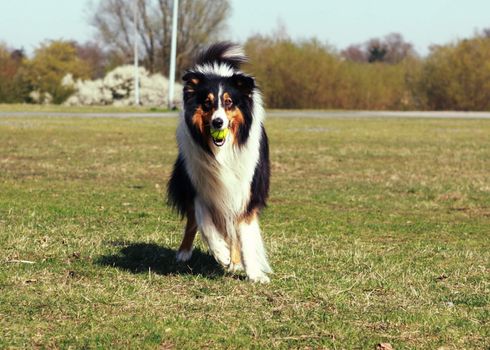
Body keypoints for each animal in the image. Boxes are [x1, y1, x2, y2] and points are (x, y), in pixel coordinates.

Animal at [168, 41, 272, 282]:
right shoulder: (199, 186)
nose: (218, 122)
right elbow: (205, 224)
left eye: (229, 102)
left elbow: (244, 235)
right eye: (206, 104)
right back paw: (185, 253)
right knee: (193, 221)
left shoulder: (246, 191)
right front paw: (220, 253)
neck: (222, 152)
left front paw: (253, 273)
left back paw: (235, 263)